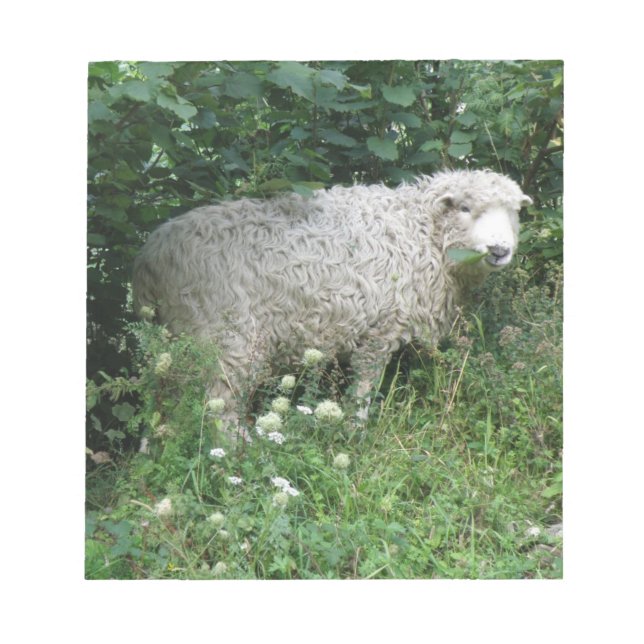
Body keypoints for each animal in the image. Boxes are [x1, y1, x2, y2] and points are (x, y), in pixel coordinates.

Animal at [133, 169, 532, 434]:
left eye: (515, 211)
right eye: (464, 207)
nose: (499, 250)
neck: (420, 232)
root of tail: (151, 257)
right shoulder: (379, 330)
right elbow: (363, 390)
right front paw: (355, 433)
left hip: (173, 340)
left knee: (162, 400)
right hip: (226, 337)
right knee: (219, 406)